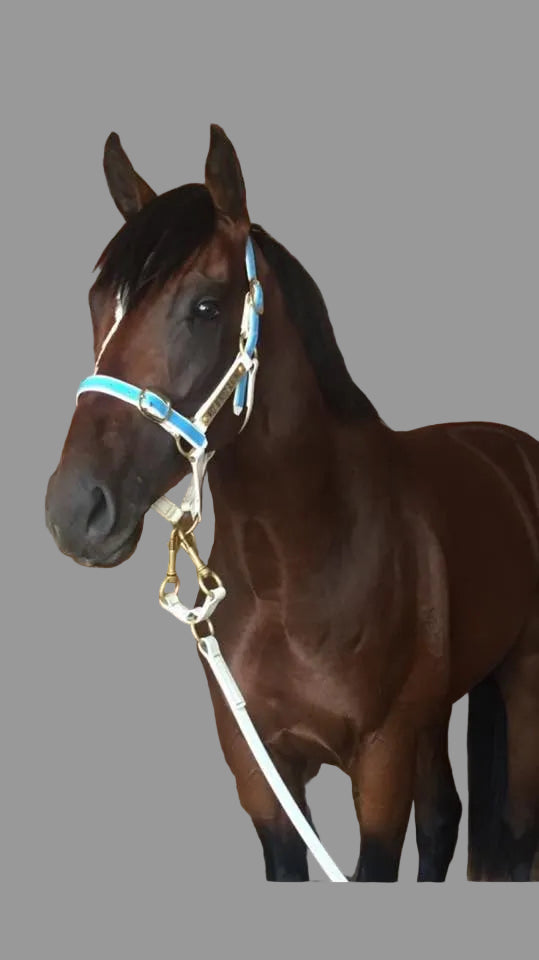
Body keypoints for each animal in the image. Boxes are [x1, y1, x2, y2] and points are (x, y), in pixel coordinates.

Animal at [45, 125, 539, 882]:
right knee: (444, 818)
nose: (75, 511)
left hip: (518, 686)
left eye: (205, 307)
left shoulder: (381, 767)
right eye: (99, 302)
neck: (297, 571)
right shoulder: (262, 776)